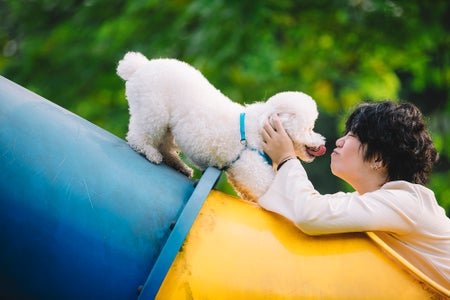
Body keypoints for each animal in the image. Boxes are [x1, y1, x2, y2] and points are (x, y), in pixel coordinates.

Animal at [118, 52, 326, 202]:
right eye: (309, 128)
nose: (322, 142)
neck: (259, 131)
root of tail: (140, 66)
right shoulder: (254, 173)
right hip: (153, 111)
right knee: (138, 136)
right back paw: (149, 152)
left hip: (168, 126)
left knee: (165, 145)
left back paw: (179, 166)